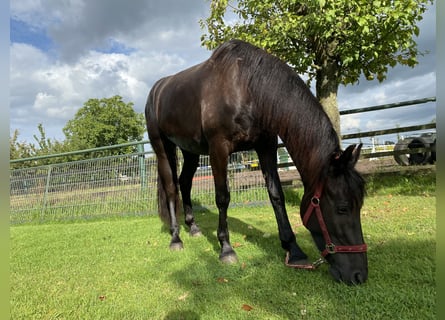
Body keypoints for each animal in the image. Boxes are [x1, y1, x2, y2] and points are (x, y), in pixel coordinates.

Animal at [146, 39, 368, 282]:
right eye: (342, 208)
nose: (358, 275)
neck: (246, 88)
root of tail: (156, 90)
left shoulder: (266, 146)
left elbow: (276, 195)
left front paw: (294, 250)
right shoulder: (219, 148)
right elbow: (223, 197)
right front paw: (226, 249)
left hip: (190, 150)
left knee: (185, 183)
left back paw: (193, 228)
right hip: (162, 148)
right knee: (171, 188)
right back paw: (176, 238)